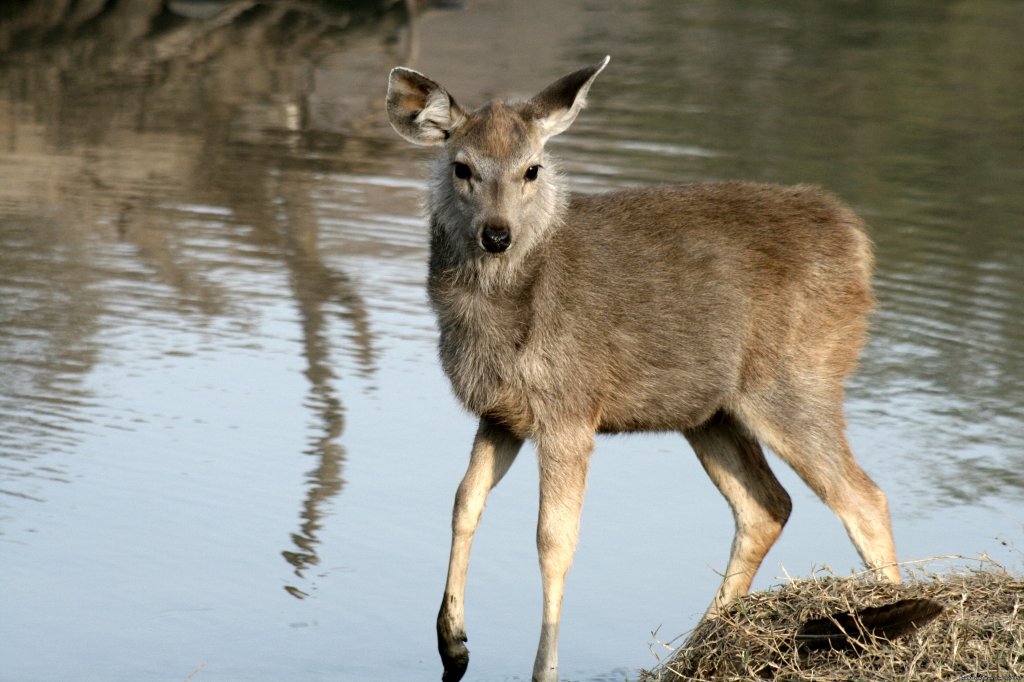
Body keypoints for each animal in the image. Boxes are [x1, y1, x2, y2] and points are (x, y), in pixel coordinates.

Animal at [382, 57, 897, 679]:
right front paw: (452, 639)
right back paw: (699, 648)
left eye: (532, 169)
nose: (497, 234)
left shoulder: (571, 409)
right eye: (461, 167)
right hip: (711, 412)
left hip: (797, 382)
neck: (500, 322)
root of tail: (857, 242)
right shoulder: (501, 413)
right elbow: (464, 501)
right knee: (767, 506)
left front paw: (543, 668)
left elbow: (554, 539)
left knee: (864, 499)